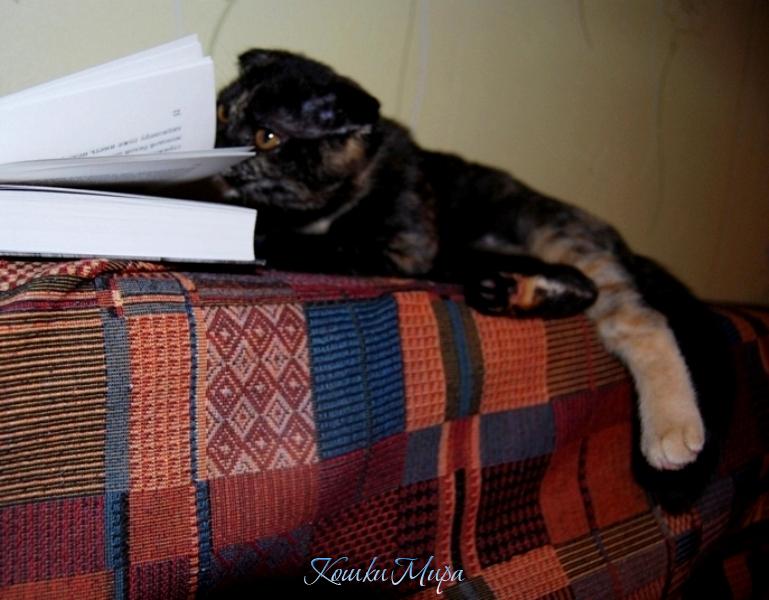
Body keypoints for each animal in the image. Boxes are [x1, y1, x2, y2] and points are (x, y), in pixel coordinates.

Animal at [214, 48, 732, 507]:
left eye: (267, 136)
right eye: (220, 111)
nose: (216, 150)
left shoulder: (403, 247)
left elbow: (314, 242)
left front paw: (253, 237)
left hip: (554, 231)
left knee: (637, 318)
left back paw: (671, 429)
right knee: (577, 288)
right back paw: (509, 292)